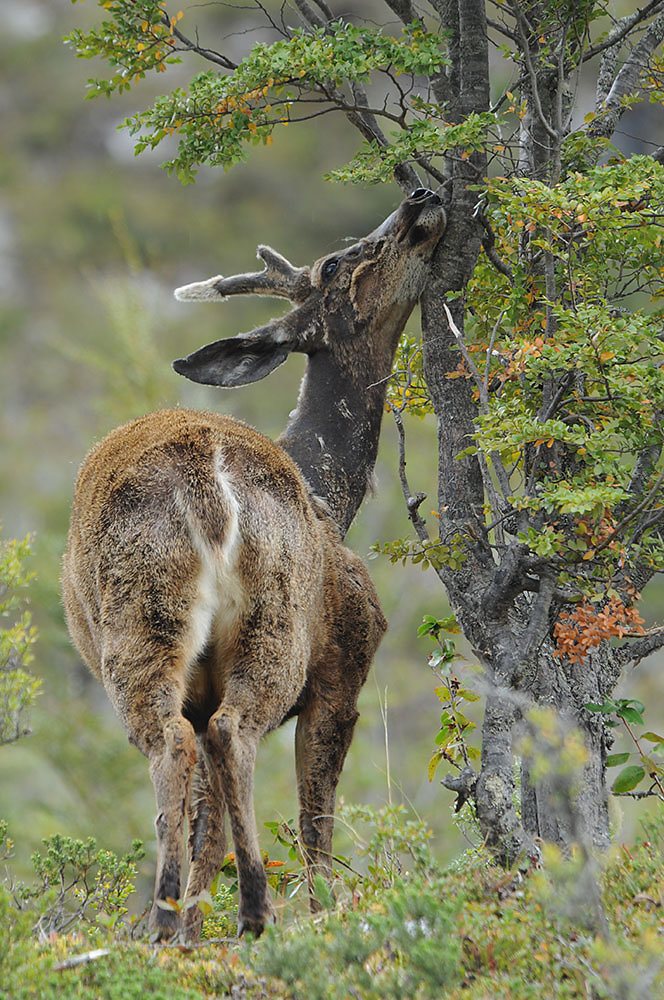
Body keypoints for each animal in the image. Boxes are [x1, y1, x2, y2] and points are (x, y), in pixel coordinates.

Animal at [61, 189, 446, 944]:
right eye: (339, 262)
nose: (419, 200)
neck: (331, 491)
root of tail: (207, 476)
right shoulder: (345, 665)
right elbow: (316, 818)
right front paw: (323, 911)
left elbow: (206, 818)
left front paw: (193, 921)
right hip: (273, 620)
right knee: (229, 736)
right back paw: (252, 908)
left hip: (145, 626)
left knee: (177, 746)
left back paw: (168, 920)